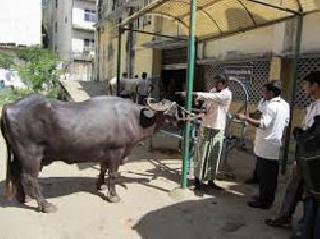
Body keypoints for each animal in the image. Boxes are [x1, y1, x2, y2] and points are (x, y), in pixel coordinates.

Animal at [0, 94, 178, 212]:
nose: (180, 116)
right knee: (30, 178)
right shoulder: (117, 151)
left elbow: (103, 169)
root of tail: (9, 106)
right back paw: (45, 205)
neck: (135, 118)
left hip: (18, 155)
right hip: (31, 154)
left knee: (16, 172)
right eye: (172, 108)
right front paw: (113, 196)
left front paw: (100, 185)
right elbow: (113, 174)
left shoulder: (106, 153)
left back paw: (23, 197)